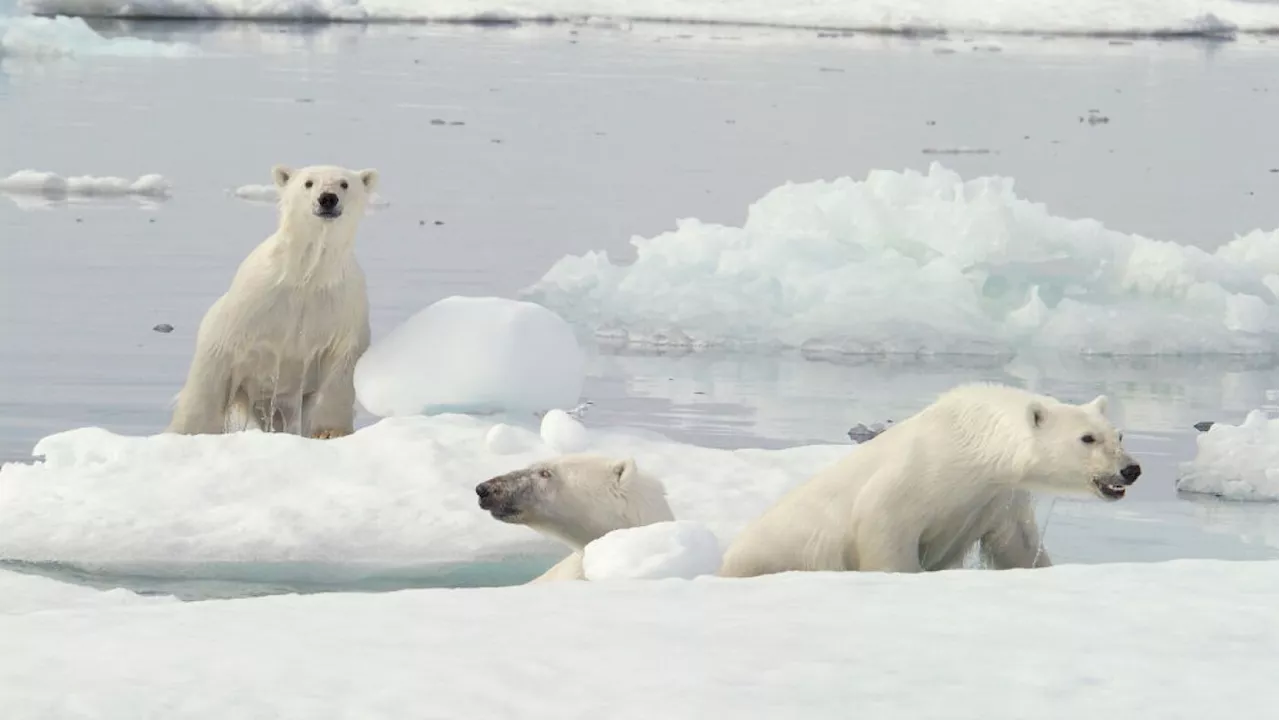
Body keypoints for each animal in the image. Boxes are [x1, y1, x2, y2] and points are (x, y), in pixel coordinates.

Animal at [163, 163, 378, 438]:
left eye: (344, 184)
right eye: (308, 183)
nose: (328, 199)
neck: (307, 275)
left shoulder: (341, 307)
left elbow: (343, 365)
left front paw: (331, 431)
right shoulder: (251, 306)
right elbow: (218, 360)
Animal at [716, 381, 1146, 576]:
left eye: (1118, 435)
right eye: (1086, 438)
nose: (1131, 470)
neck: (970, 442)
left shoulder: (998, 497)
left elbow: (1017, 544)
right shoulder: (911, 478)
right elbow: (885, 531)